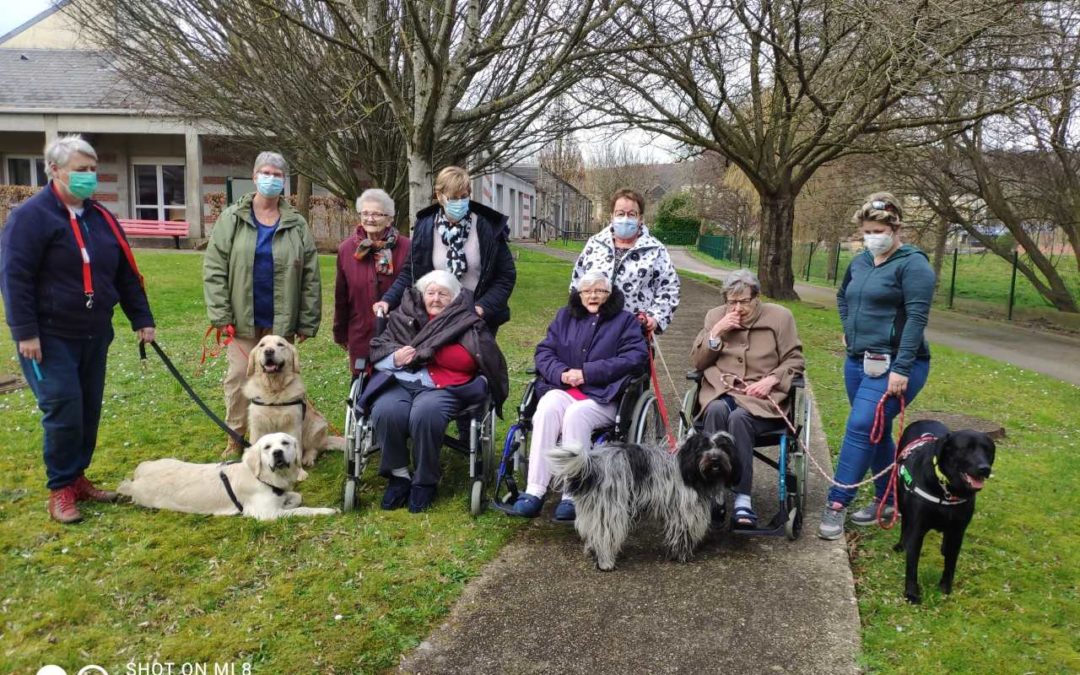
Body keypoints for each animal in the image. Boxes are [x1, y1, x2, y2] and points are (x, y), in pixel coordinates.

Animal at [118, 432, 339, 520]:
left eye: (285, 443)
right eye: (267, 447)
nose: (277, 453)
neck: (264, 478)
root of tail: (136, 477)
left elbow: (296, 497)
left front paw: (289, 501)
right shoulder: (265, 513)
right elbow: (303, 510)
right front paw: (327, 510)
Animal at [552, 432, 738, 570]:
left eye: (722, 448)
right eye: (703, 448)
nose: (715, 459)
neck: (689, 468)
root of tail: (592, 464)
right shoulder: (684, 511)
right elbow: (682, 534)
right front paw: (682, 555)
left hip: (596, 509)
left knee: (594, 533)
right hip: (611, 509)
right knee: (604, 536)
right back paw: (606, 563)